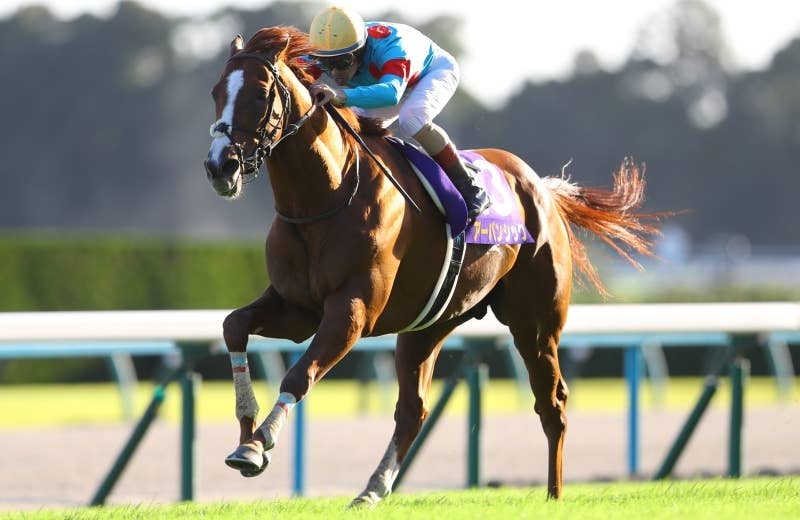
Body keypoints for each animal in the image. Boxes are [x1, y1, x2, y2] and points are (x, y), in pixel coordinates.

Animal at [203, 26, 664, 506]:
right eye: (216, 92)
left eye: (259, 93)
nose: (220, 166)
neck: (326, 196)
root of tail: (542, 187)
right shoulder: (297, 307)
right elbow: (234, 326)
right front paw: (246, 428)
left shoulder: (351, 311)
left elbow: (300, 374)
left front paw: (257, 445)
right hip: (430, 323)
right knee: (413, 410)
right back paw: (371, 490)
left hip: (535, 322)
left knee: (551, 400)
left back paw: (554, 495)